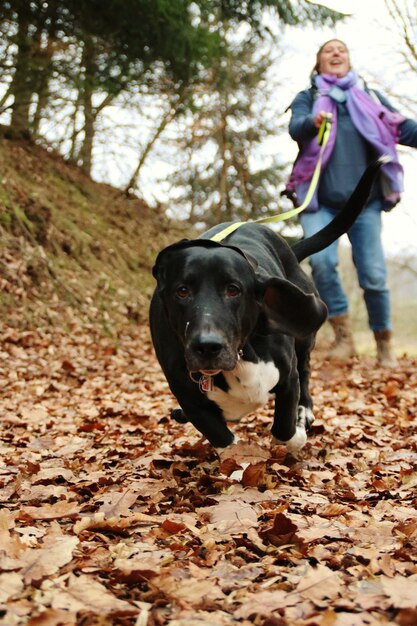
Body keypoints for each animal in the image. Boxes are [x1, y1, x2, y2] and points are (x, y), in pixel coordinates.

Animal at [150, 160, 384, 454]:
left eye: (233, 289)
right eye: (182, 291)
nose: (207, 346)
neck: (241, 356)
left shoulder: (288, 377)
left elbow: (284, 427)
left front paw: (296, 434)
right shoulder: (189, 397)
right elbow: (222, 437)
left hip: (304, 339)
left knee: (306, 371)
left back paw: (305, 411)